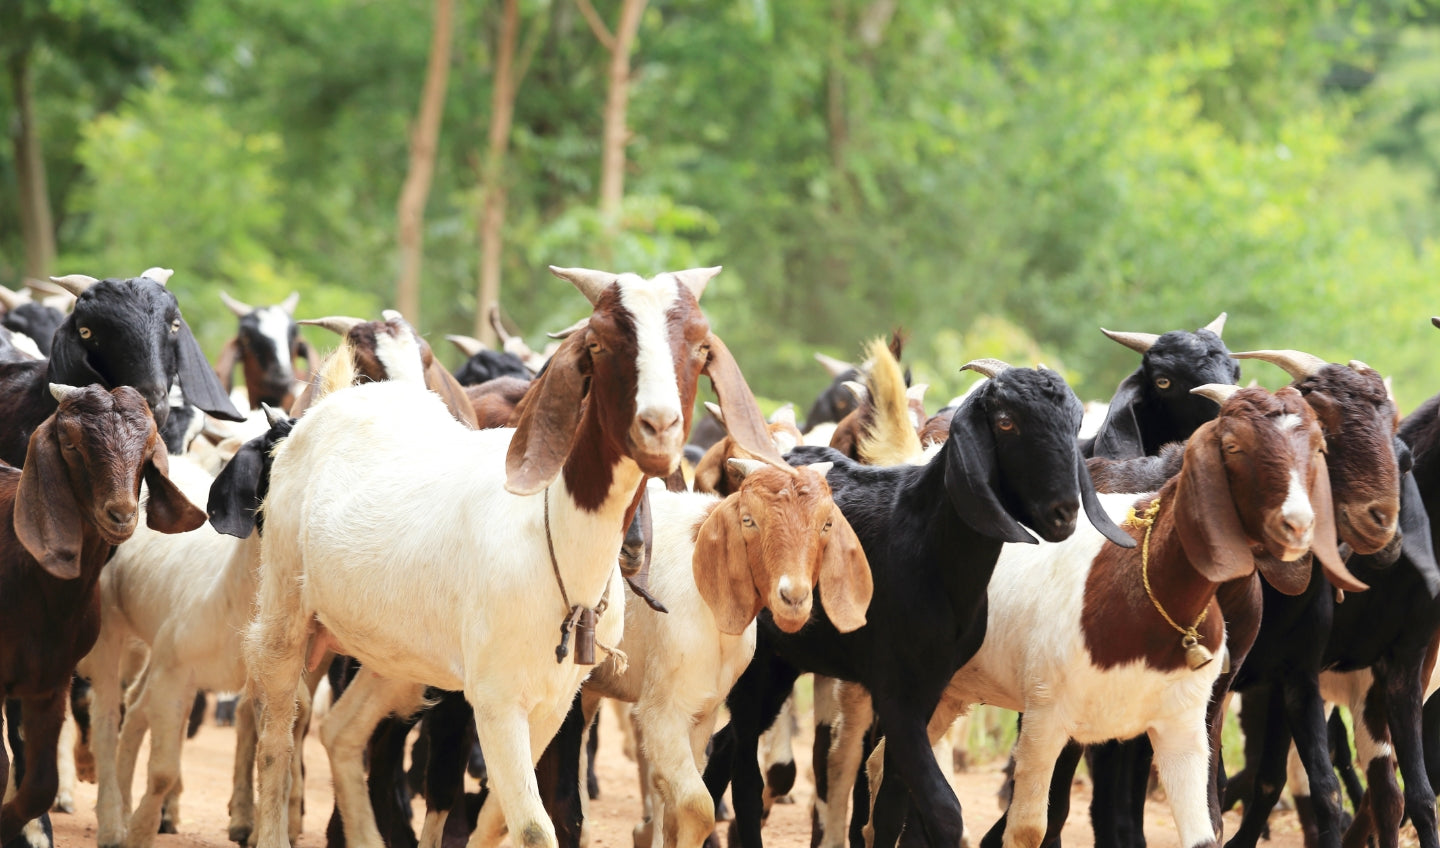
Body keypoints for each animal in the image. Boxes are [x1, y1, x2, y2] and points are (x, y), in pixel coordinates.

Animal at [244, 266, 785, 848]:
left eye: (700, 346)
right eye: (599, 342)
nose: (659, 427)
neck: (556, 546)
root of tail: (335, 402)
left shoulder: (555, 701)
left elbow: (499, 817)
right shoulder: (496, 700)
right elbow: (531, 826)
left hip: (396, 655)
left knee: (342, 731)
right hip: (284, 611)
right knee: (277, 737)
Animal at [703, 358, 1134, 848]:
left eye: (1076, 423)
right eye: (1006, 421)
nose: (1064, 512)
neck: (928, 545)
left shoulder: (930, 686)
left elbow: (892, 803)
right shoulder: (895, 689)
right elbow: (942, 808)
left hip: (784, 662)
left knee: (725, 747)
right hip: (756, 663)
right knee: (745, 777)